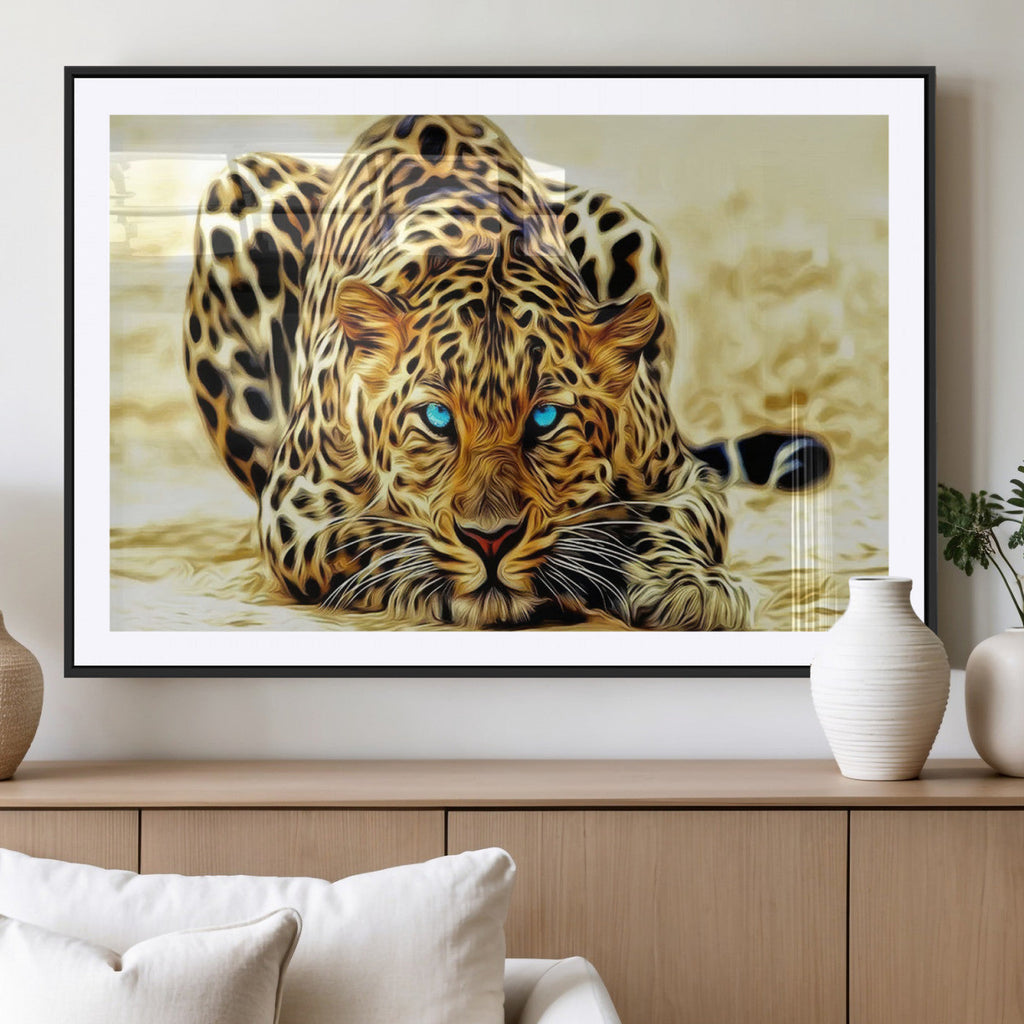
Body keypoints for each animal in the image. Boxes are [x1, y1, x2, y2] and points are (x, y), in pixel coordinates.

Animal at [183, 114, 792, 631]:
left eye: (545, 419)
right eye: (436, 418)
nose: (491, 540)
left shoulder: (684, 479)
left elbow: (671, 523)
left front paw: (691, 587)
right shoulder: (295, 510)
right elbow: (371, 536)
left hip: (618, 218)